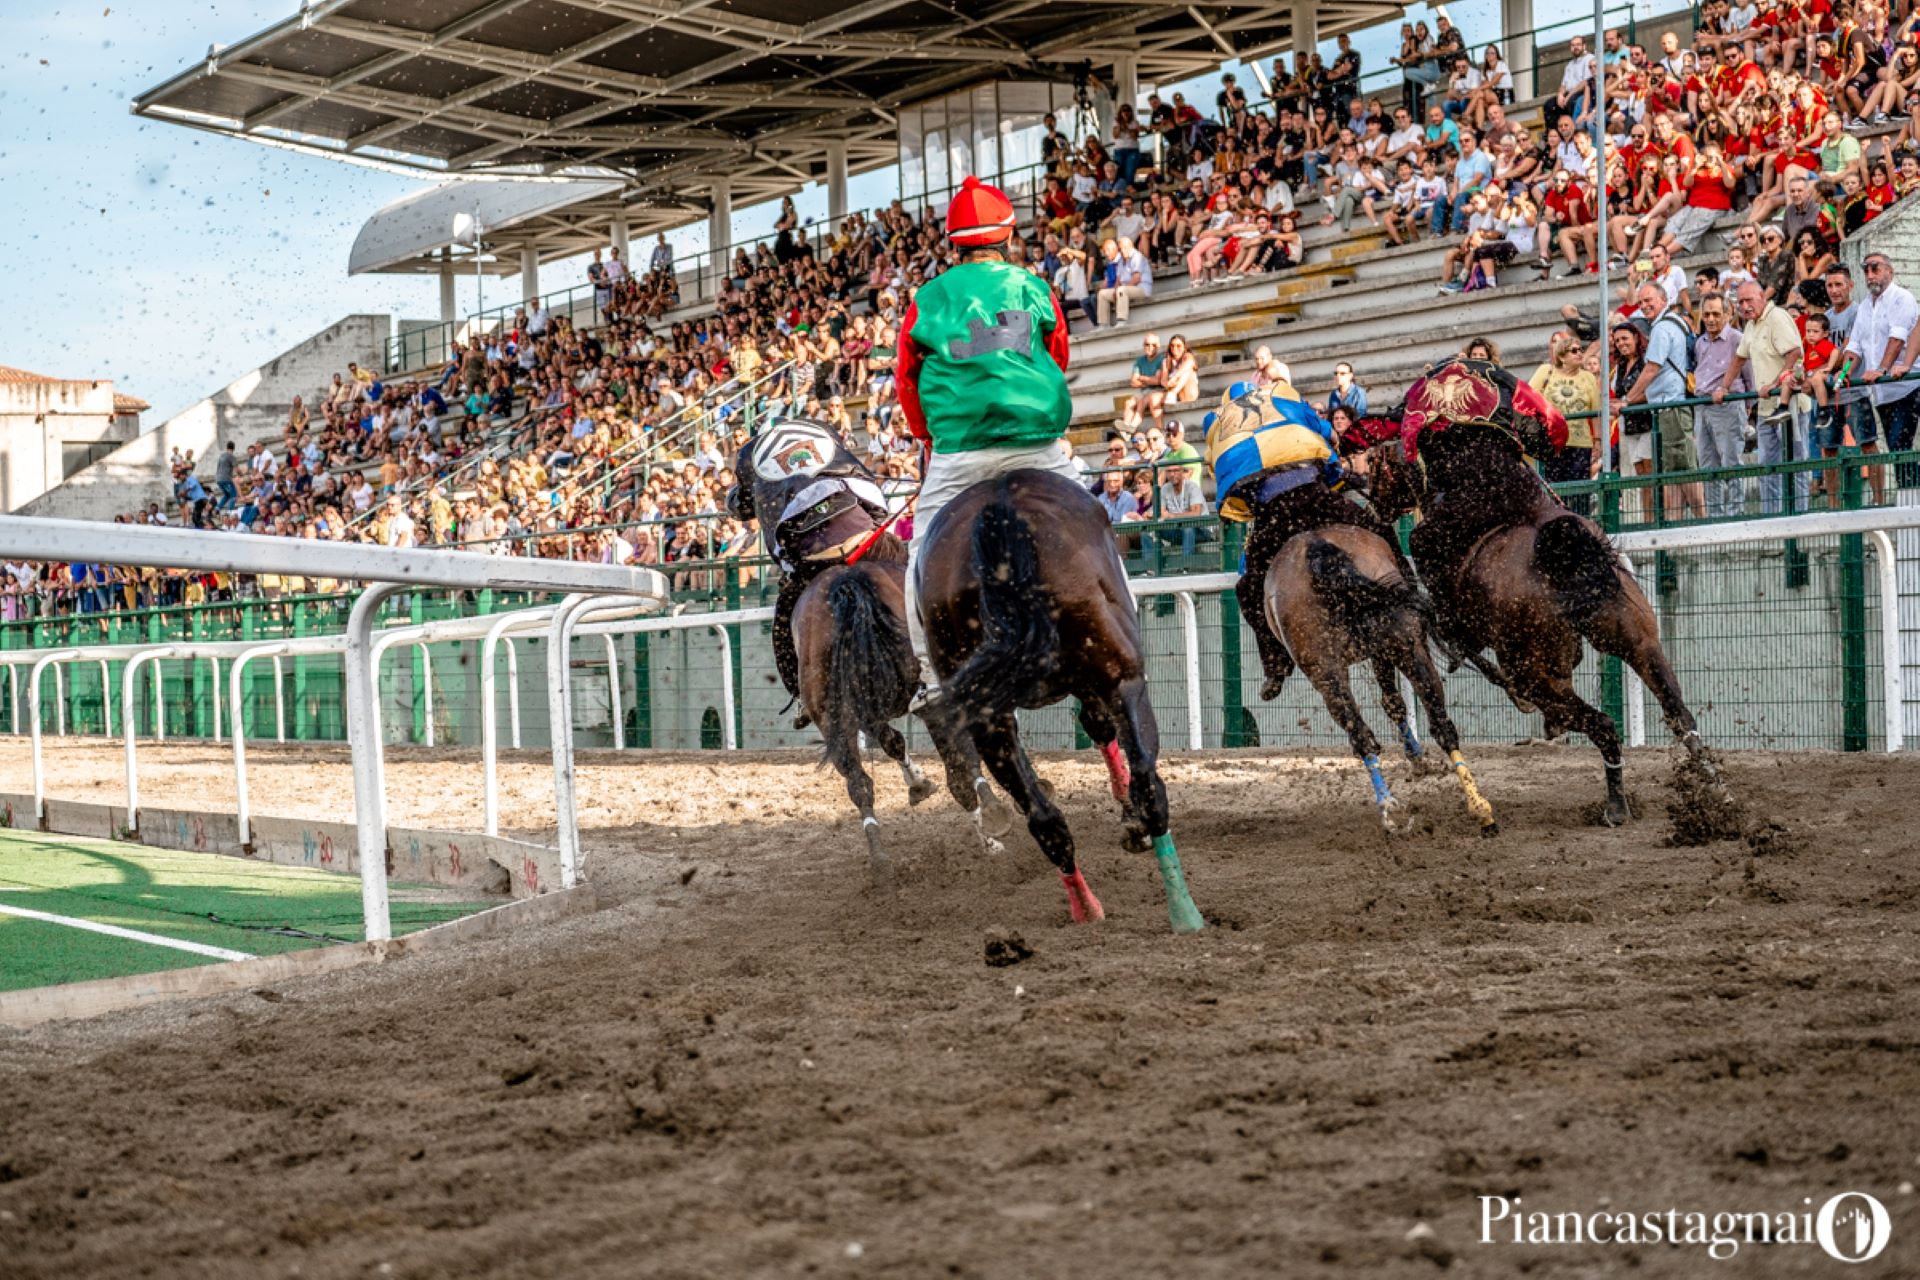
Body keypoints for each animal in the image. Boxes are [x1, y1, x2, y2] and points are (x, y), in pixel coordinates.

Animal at [791, 529, 1021, 882]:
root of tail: (847, 585)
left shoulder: (867, 713)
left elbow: (893, 742)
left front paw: (918, 782)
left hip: (834, 717)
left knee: (859, 783)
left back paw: (881, 860)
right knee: (960, 767)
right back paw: (991, 828)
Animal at [913, 470, 1198, 932]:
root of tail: (1001, 510)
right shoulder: (1105, 683)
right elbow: (1104, 730)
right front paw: (1128, 816)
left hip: (986, 713)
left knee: (1046, 821)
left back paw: (1092, 908)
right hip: (1123, 676)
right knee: (1148, 784)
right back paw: (1180, 910)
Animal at [1359, 358, 1720, 832]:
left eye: (1377, 465)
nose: (1373, 506)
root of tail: (1564, 552)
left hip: (1536, 672)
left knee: (1603, 724)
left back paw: (1615, 804)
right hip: (1637, 638)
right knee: (1678, 713)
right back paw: (1711, 783)